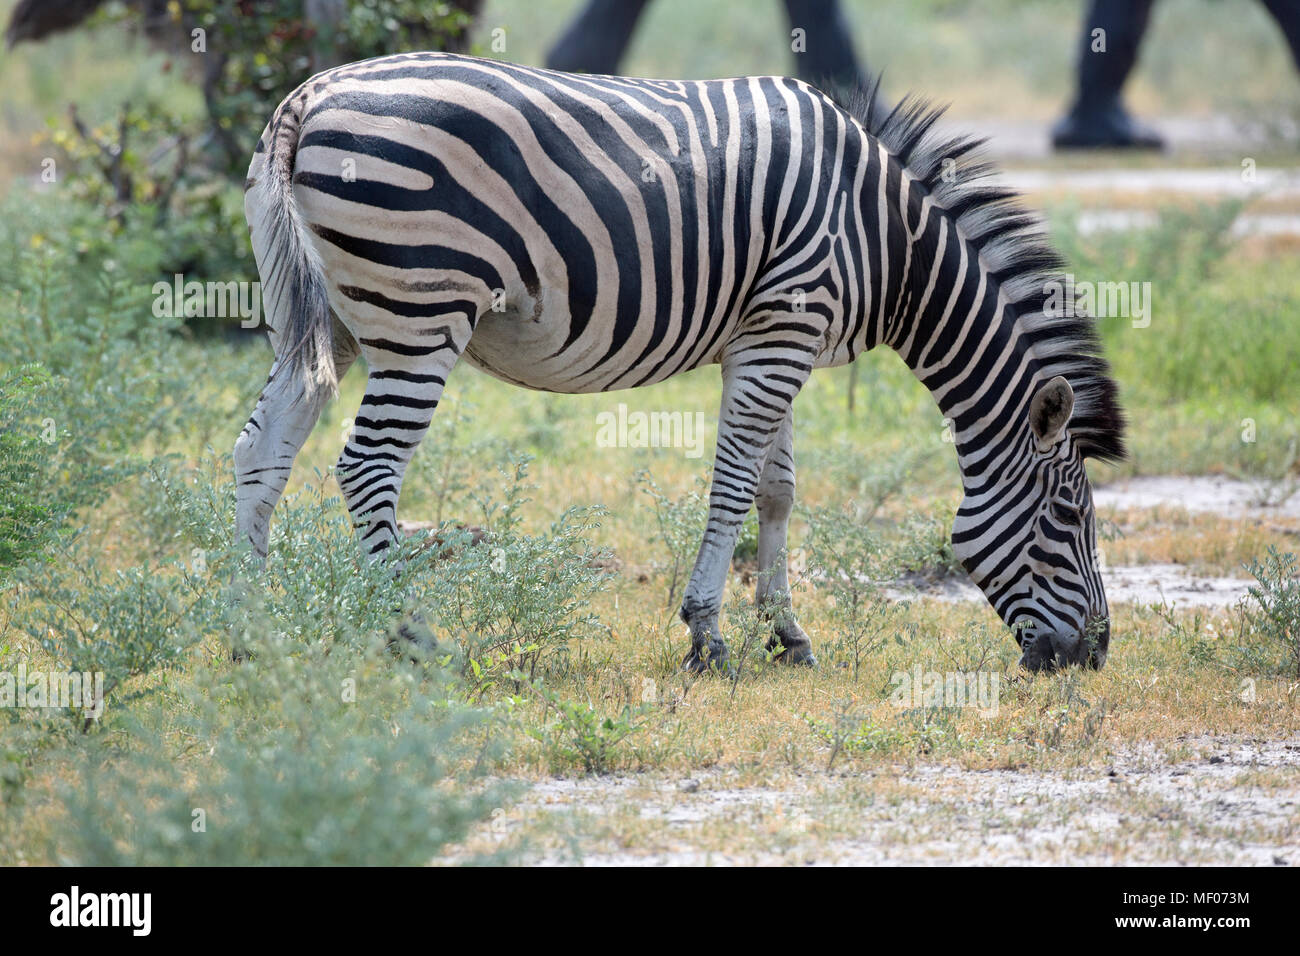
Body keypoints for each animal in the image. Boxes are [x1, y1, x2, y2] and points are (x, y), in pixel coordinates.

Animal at [236, 50, 1128, 671]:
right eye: (1069, 518)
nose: (1093, 656)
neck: (885, 240)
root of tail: (309, 97)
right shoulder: (781, 330)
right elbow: (732, 485)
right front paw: (707, 637)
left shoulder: (774, 335)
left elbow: (776, 490)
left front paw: (788, 635)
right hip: (421, 310)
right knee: (367, 465)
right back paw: (412, 635)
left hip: (325, 317)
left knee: (262, 447)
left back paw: (250, 625)